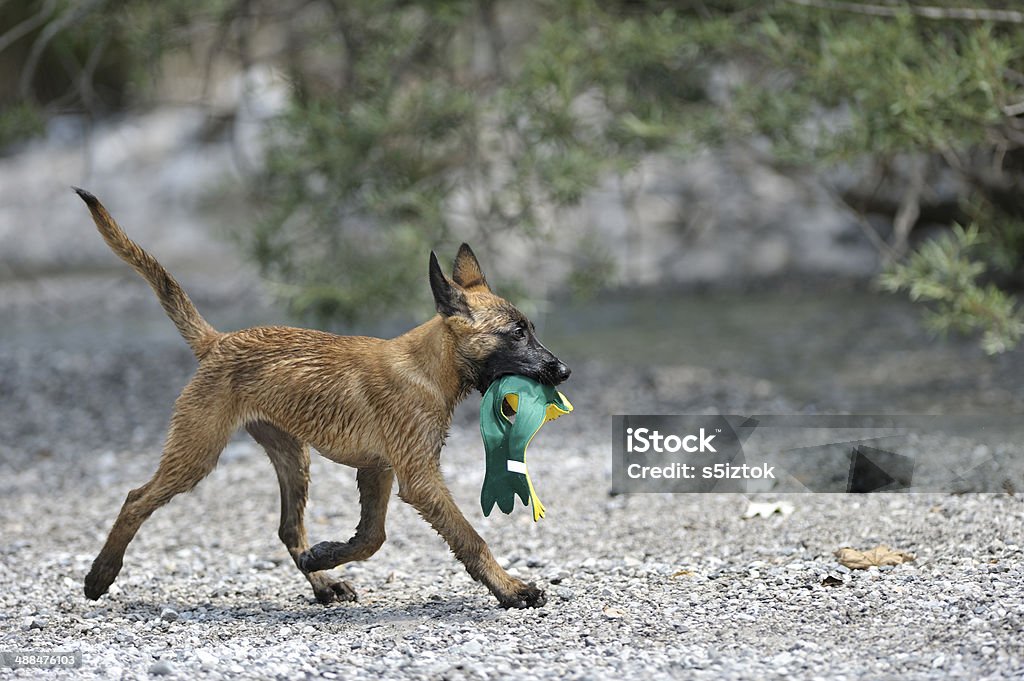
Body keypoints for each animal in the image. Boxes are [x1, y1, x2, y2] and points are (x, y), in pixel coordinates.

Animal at [74, 188, 569, 606]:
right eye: (516, 334)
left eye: (531, 329)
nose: (563, 371)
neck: (428, 366)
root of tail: (218, 342)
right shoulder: (419, 477)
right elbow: (468, 537)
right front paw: (511, 589)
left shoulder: (378, 470)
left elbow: (371, 538)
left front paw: (327, 553)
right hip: (197, 451)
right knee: (136, 498)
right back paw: (101, 574)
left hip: (293, 457)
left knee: (288, 528)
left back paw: (322, 581)